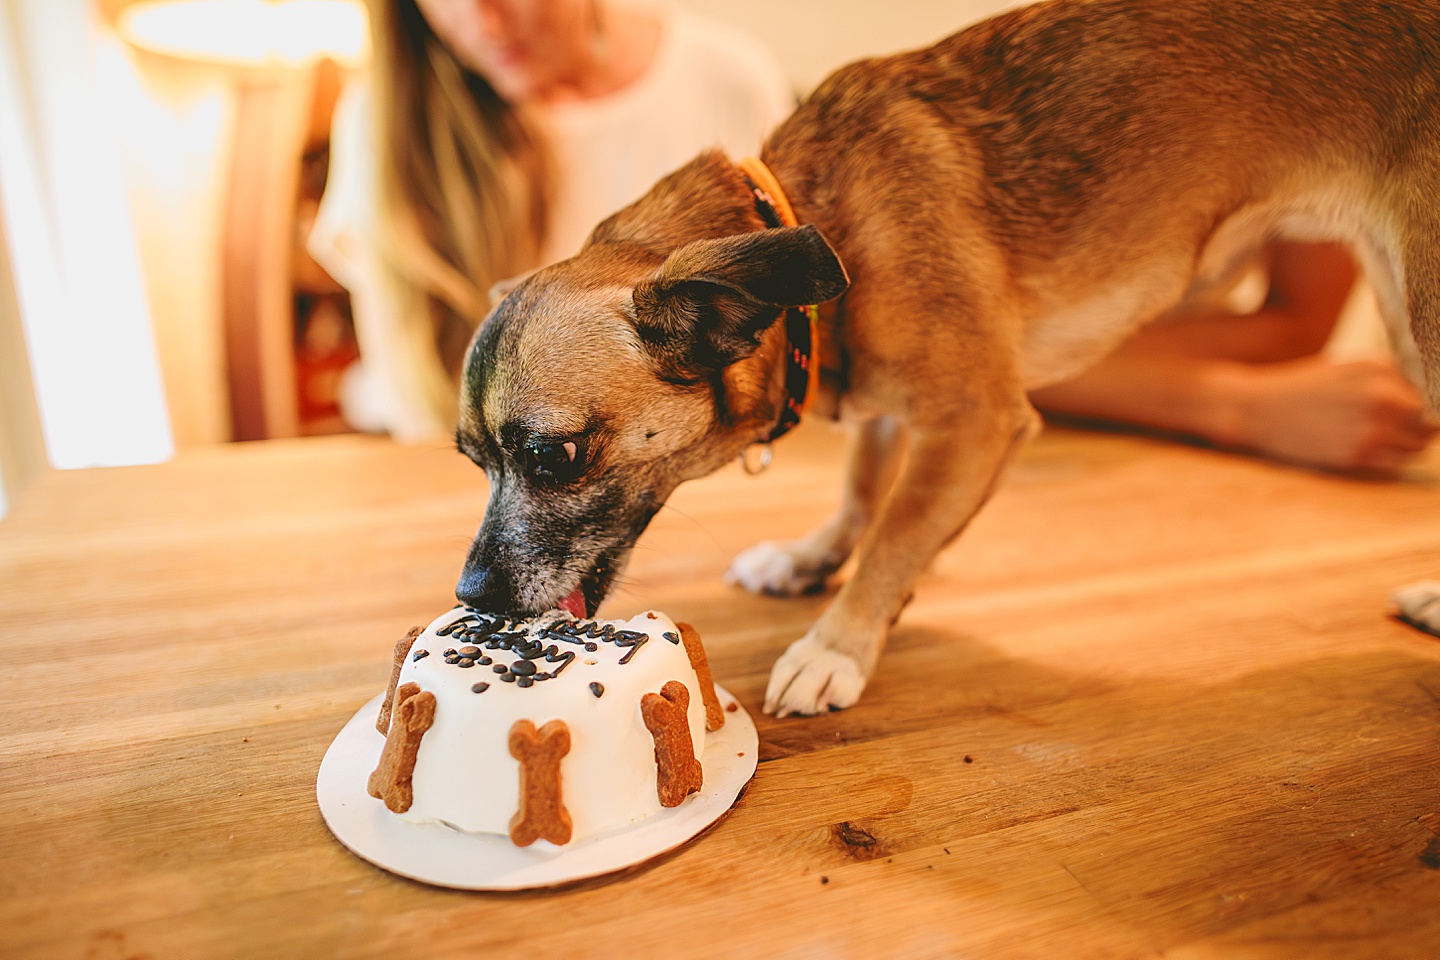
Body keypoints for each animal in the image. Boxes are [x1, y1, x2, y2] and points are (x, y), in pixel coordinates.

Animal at [455, 0, 1440, 716]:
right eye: (474, 461)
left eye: (552, 455)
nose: (472, 595)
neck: (816, 222)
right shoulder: (888, 406)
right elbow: (862, 495)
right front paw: (813, 557)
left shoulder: (974, 423)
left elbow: (896, 533)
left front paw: (838, 643)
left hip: (1422, 316)